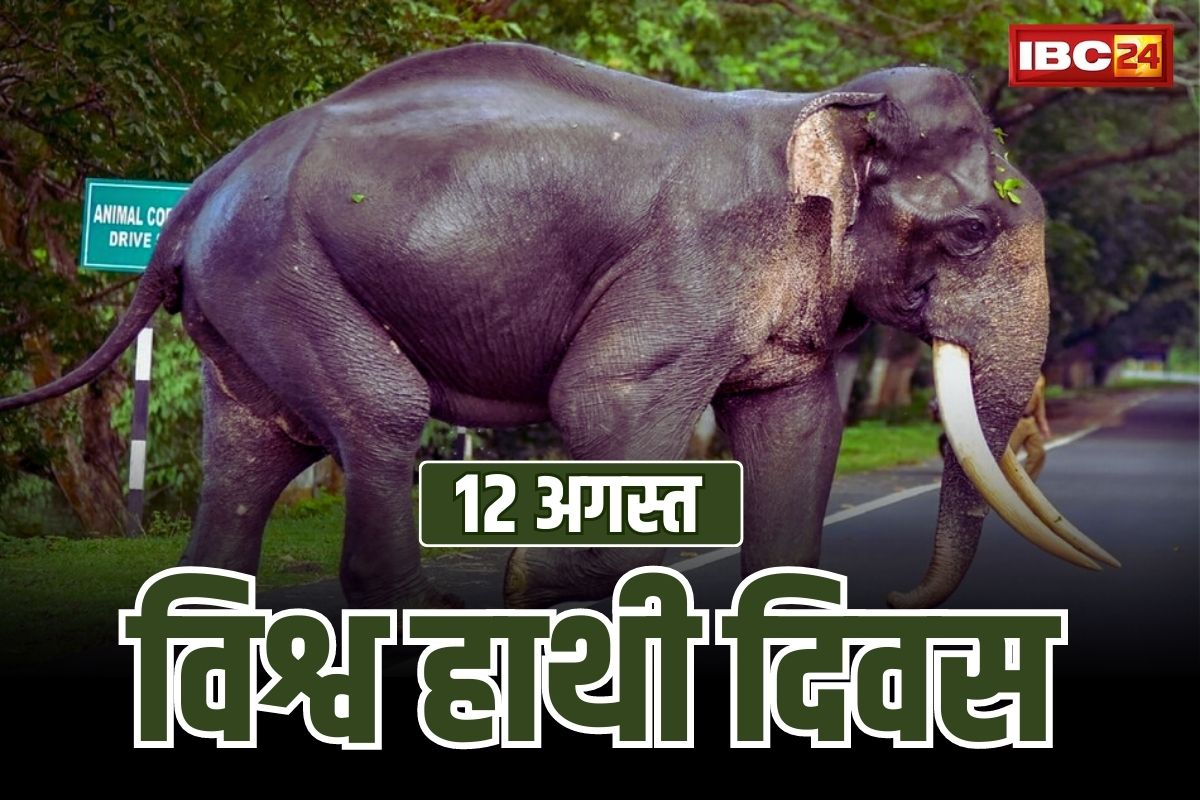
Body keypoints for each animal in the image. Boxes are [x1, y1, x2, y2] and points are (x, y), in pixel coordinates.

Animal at [0, 42, 1119, 610]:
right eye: (971, 231)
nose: (901, 600)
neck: (819, 107)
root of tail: (199, 193)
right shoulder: (691, 263)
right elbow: (606, 405)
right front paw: (536, 584)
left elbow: (794, 433)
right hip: (285, 273)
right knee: (382, 415)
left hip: (246, 302)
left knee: (251, 452)